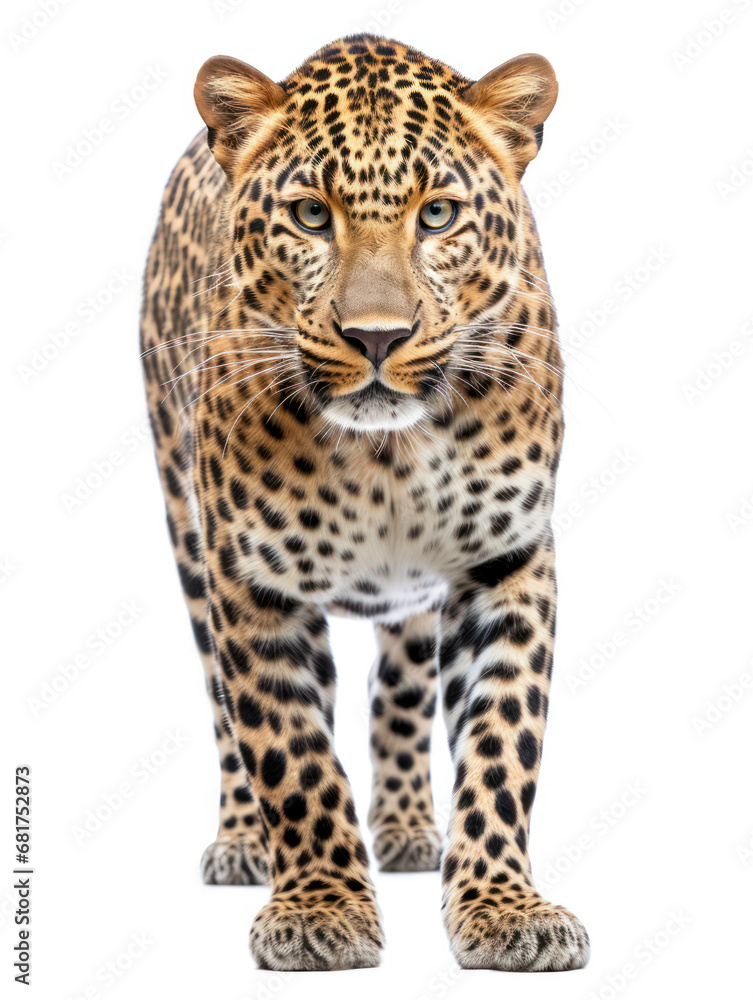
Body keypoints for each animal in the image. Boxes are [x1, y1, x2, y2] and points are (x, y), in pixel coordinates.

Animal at [140, 33, 590, 973]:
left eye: (438, 216)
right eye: (312, 217)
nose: (376, 337)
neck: (386, 457)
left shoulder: (508, 564)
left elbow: (501, 743)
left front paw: (503, 907)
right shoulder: (250, 581)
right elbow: (292, 755)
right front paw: (319, 909)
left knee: (402, 687)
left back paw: (411, 827)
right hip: (185, 532)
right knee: (222, 706)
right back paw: (243, 841)